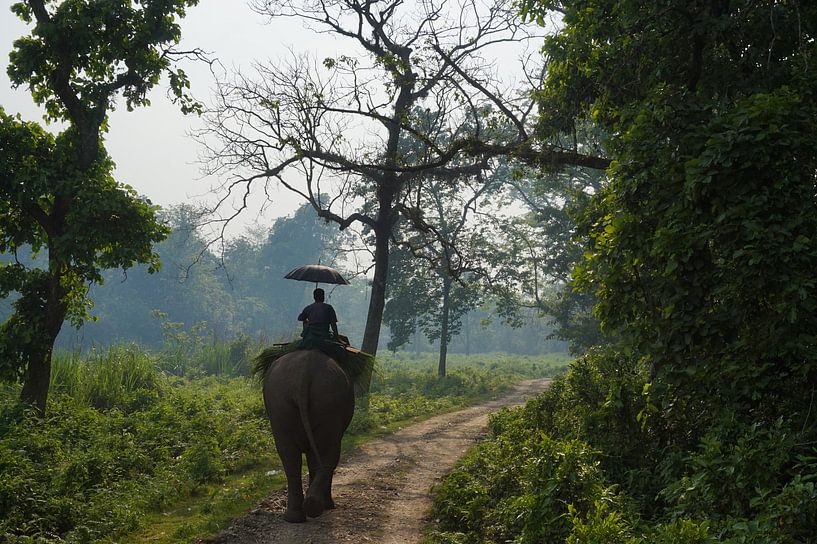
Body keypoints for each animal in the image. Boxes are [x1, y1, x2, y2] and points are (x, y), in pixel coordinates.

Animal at [262, 348, 355, 523]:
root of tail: (304, 372)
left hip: (281, 403)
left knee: (289, 456)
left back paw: (295, 516)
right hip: (328, 403)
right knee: (329, 454)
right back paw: (318, 506)